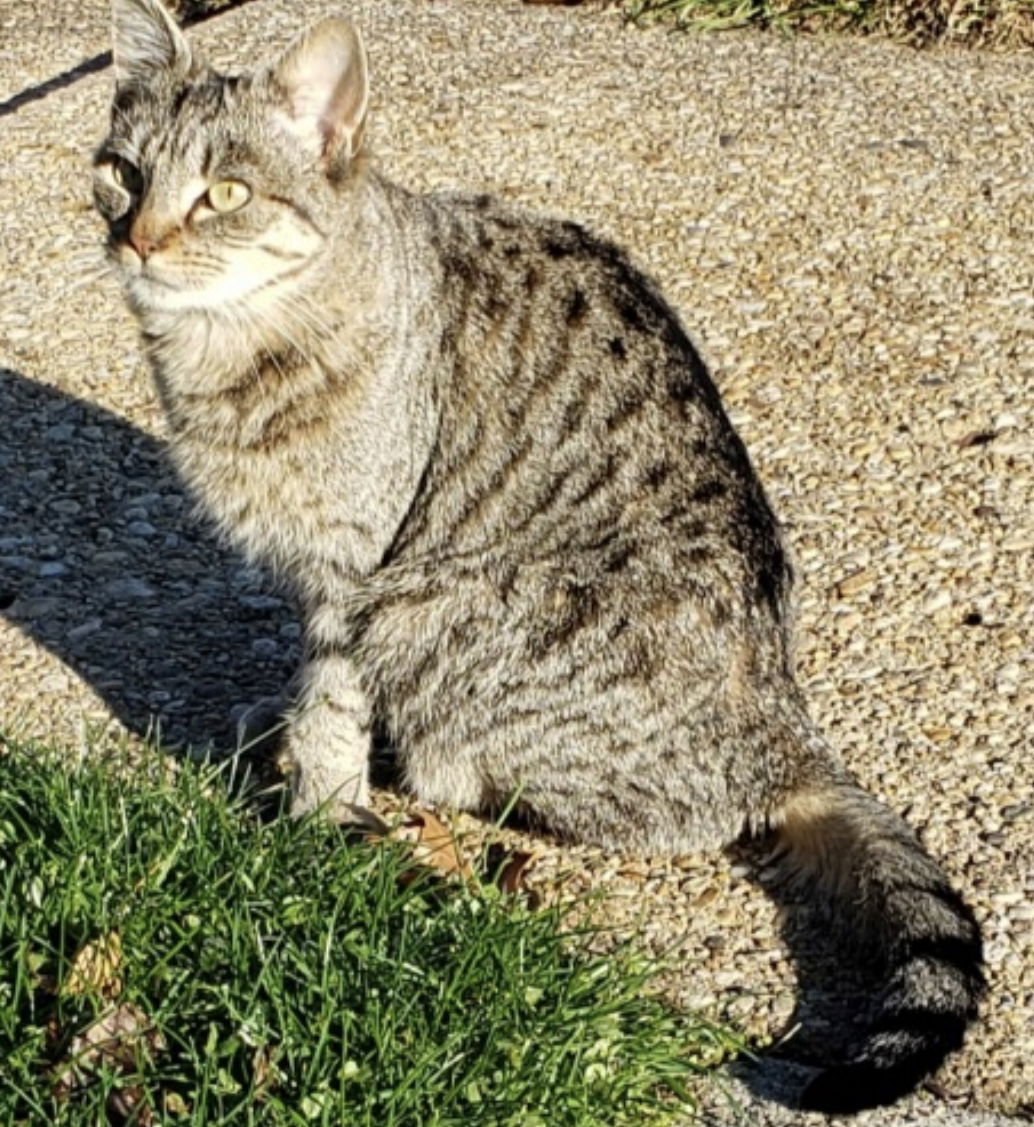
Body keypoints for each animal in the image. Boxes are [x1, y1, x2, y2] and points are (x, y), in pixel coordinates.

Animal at [94, 0, 983, 1108]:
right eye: (122, 172)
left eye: (225, 193)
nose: (137, 241)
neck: (237, 342)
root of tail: (784, 726)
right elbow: (314, 687)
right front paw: (297, 743)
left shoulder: (355, 576)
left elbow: (334, 700)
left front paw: (320, 807)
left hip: (441, 606)